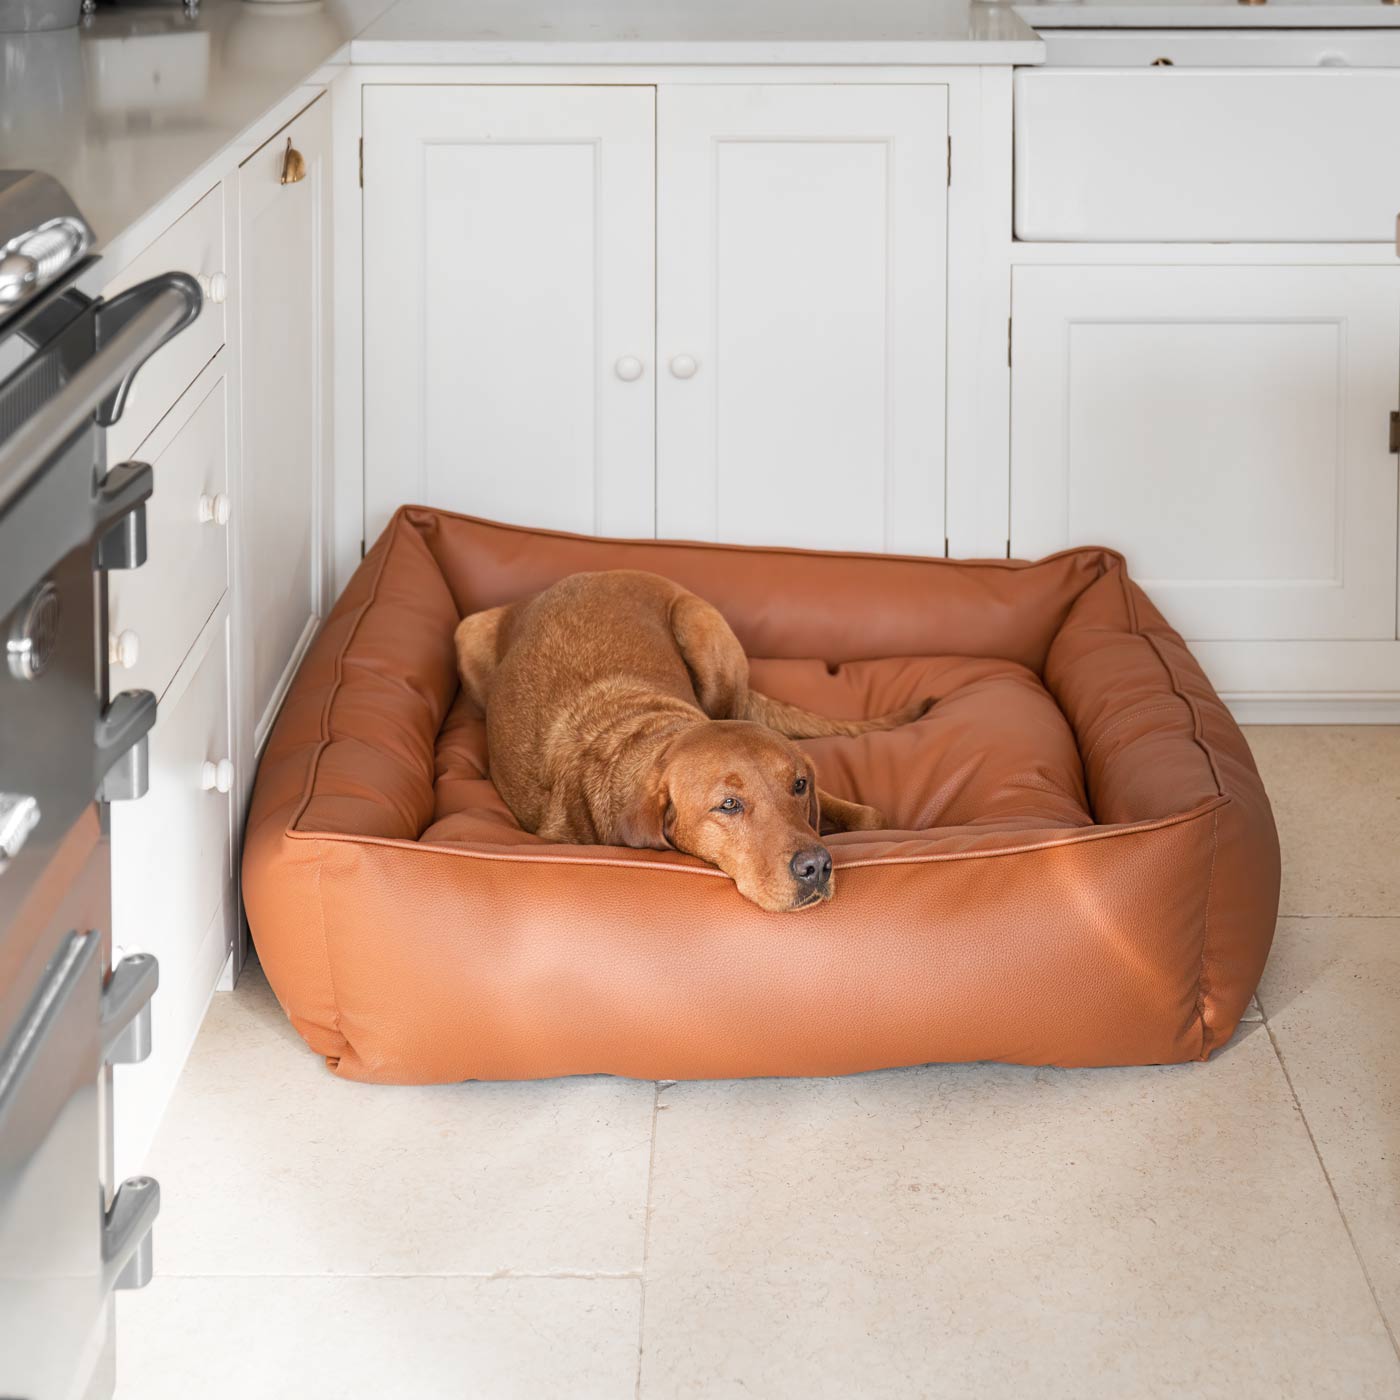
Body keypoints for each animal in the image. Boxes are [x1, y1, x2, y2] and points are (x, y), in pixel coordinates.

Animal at [456, 571, 929, 912]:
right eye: (728, 805)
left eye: (798, 785)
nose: (816, 867)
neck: (651, 730)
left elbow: (870, 816)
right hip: (467, 632)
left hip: (702, 628)